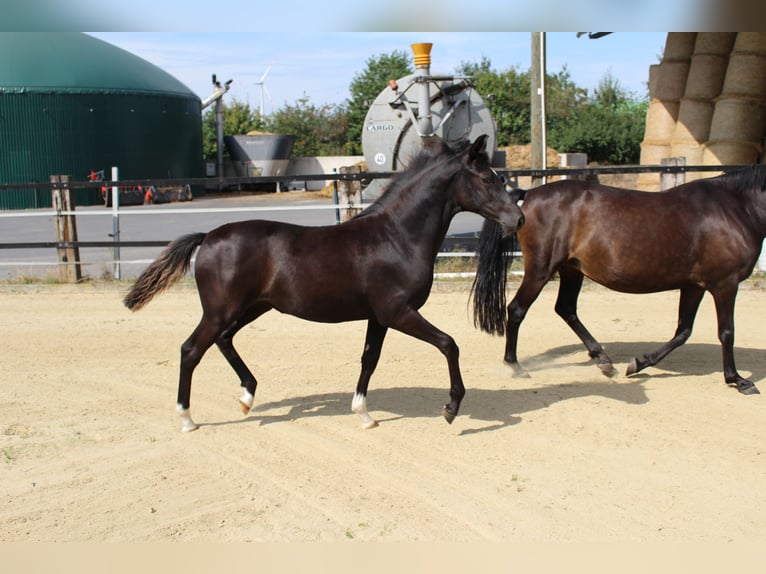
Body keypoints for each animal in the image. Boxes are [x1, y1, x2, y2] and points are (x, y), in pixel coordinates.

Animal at [123, 135, 525, 432]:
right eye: (487, 178)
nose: (518, 219)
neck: (397, 237)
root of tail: (207, 237)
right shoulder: (398, 312)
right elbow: (449, 344)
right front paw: (451, 407)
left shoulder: (378, 317)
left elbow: (369, 359)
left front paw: (364, 414)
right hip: (221, 310)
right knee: (191, 349)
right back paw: (187, 418)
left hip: (252, 307)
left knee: (223, 340)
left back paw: (247, 398)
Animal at [471, 166, 766, 395]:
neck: (736, 208)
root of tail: (529, 196)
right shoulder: (725, 284)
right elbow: (726, 332)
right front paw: (738, 380)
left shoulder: (694, 285)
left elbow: (683, 331)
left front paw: (638, 363)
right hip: (541, 269)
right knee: (517, 309)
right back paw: (515, 365)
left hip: (571, 270)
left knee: (565, 309)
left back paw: (604, 360)